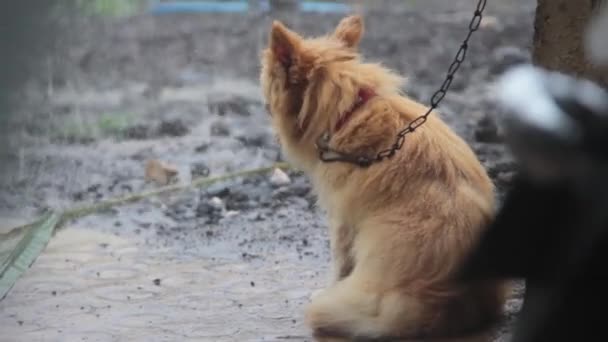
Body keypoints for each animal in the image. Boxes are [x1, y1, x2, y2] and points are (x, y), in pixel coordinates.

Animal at [258, 14, 506, 340]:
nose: (263, 103)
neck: (347, 114)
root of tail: (450, 298)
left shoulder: (342, 220)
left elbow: (340, 264)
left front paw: (329, 286)